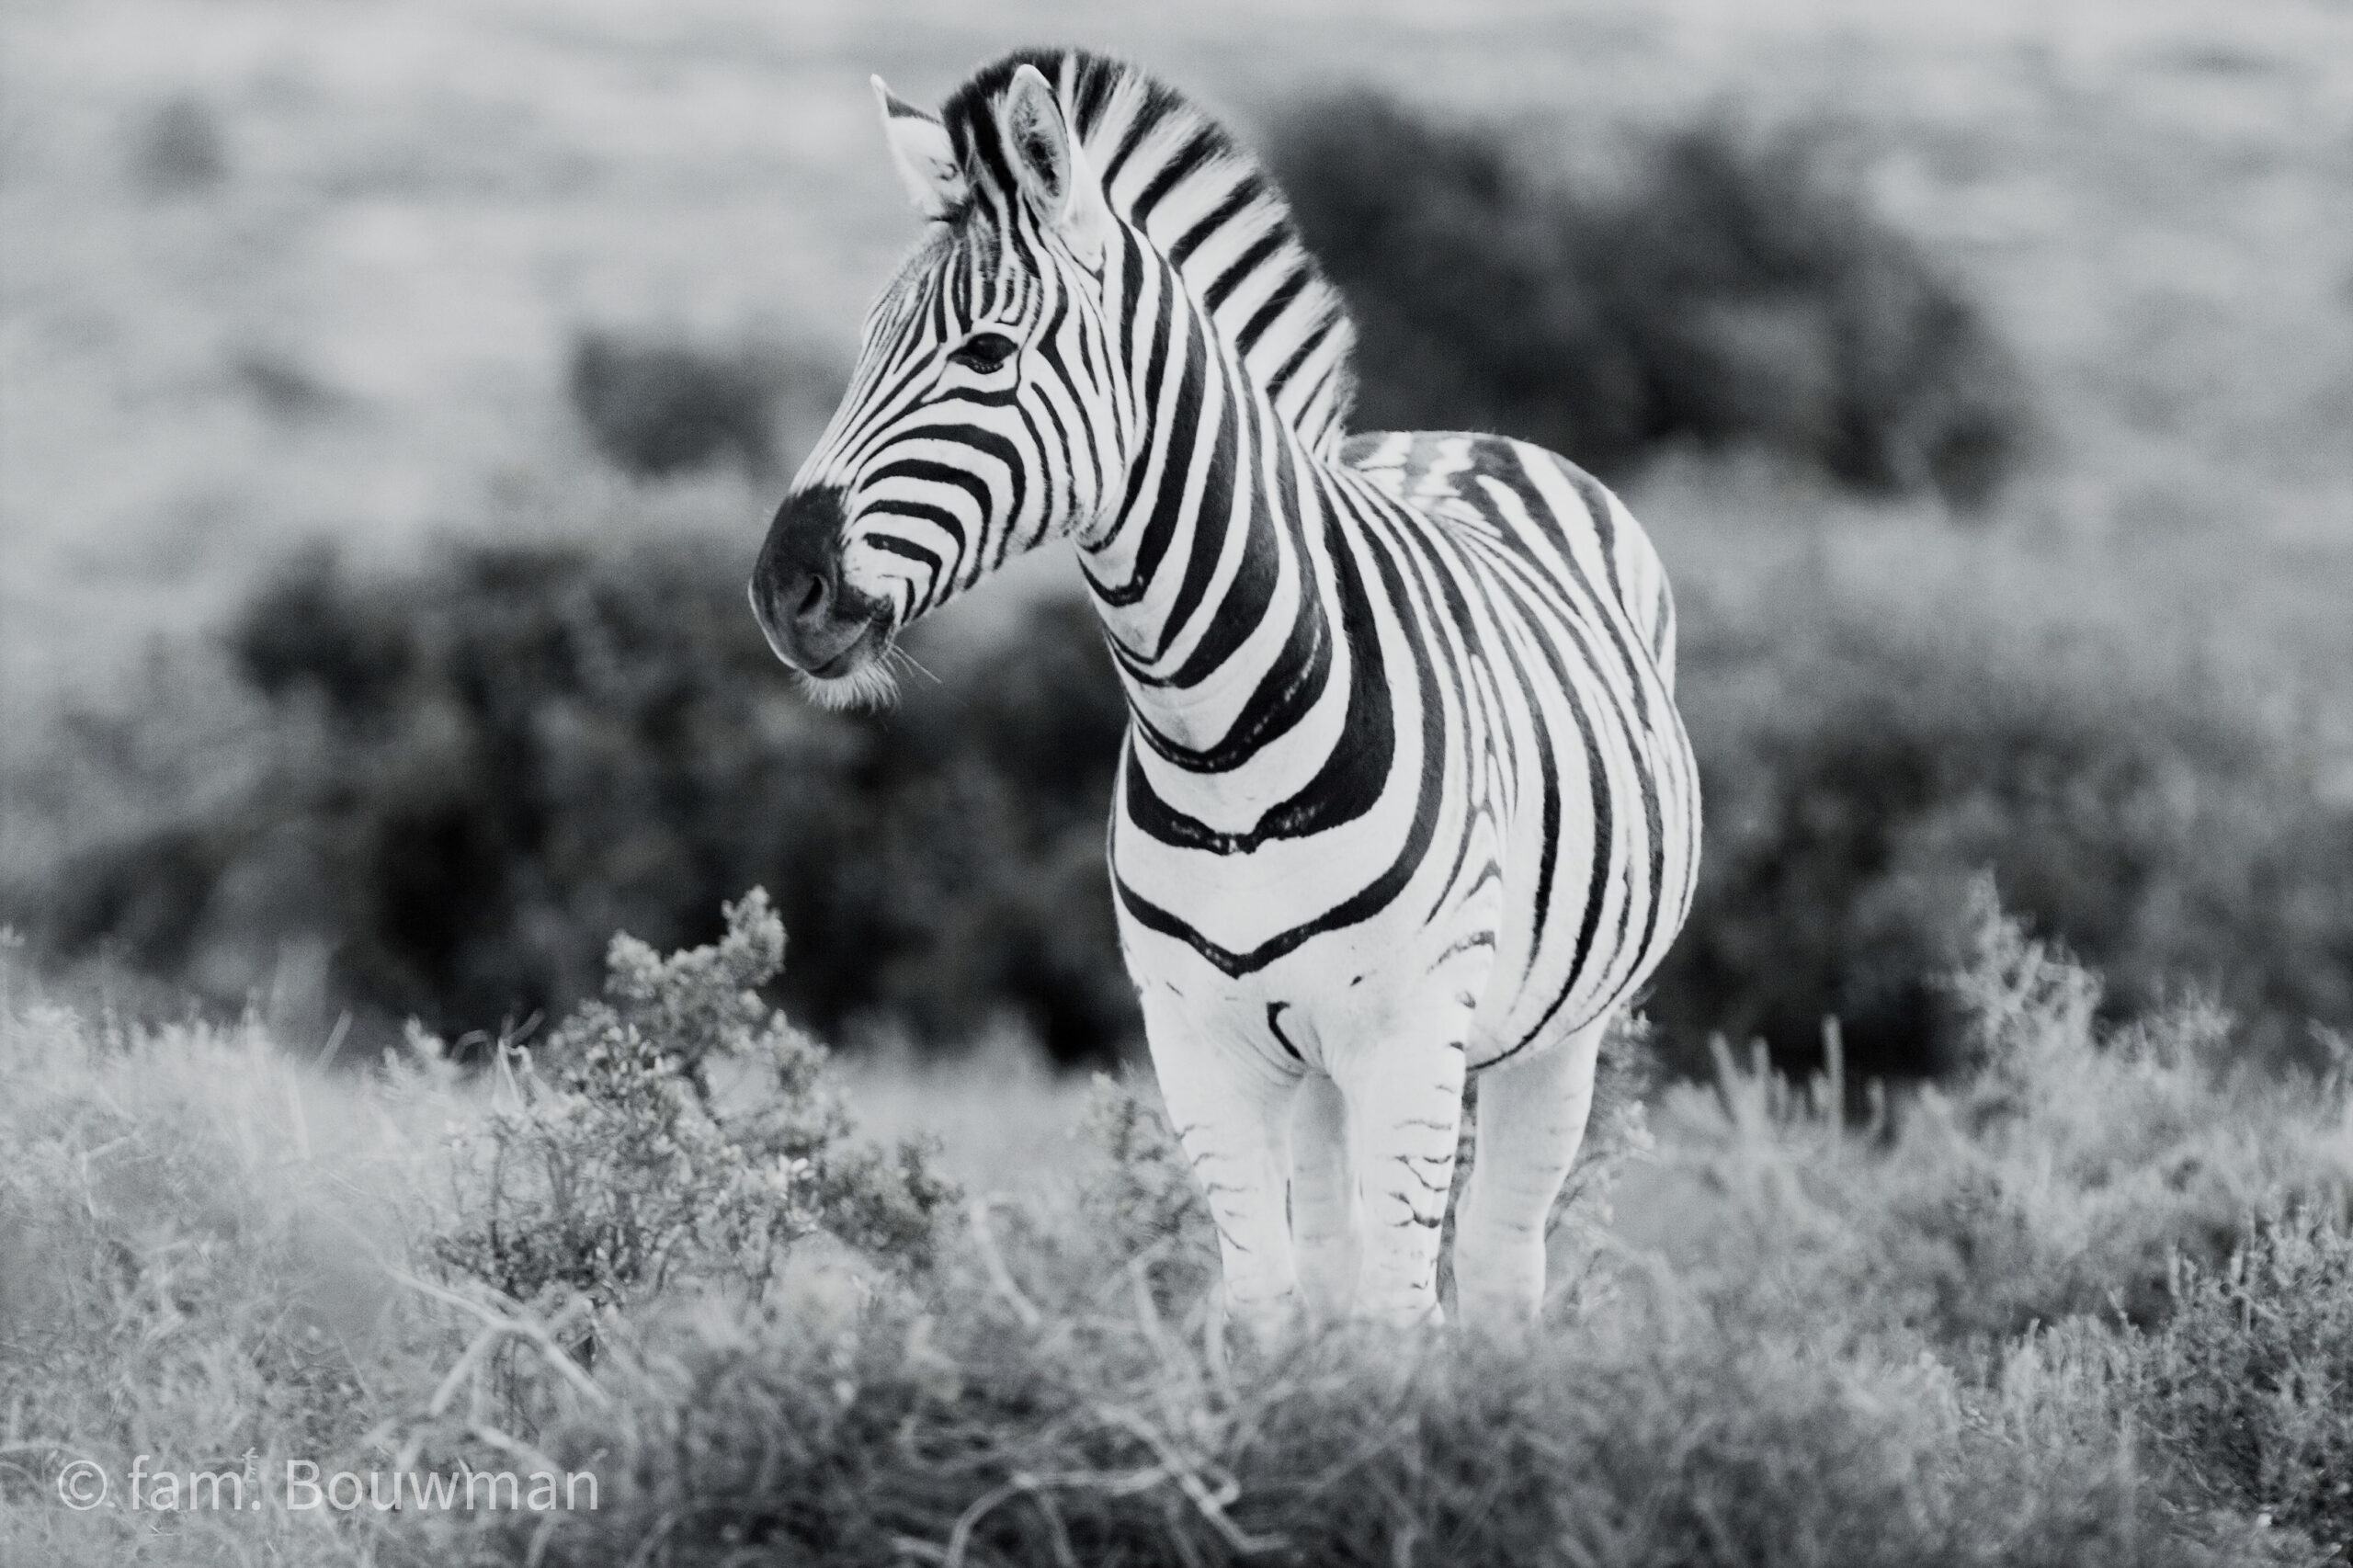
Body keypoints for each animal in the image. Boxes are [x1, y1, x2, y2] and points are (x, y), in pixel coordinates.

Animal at [753, 49, 1694, 1327]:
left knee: (1502, 1263)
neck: (1220, 733)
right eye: (862, 347)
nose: (782, 587)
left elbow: (1401, 1313)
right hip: (1319, 1066)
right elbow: (1267, 1302)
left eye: (986, 355)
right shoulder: (1200, 1042)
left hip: (1559, 1033)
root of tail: (1467, 436)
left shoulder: (1409, 1036)